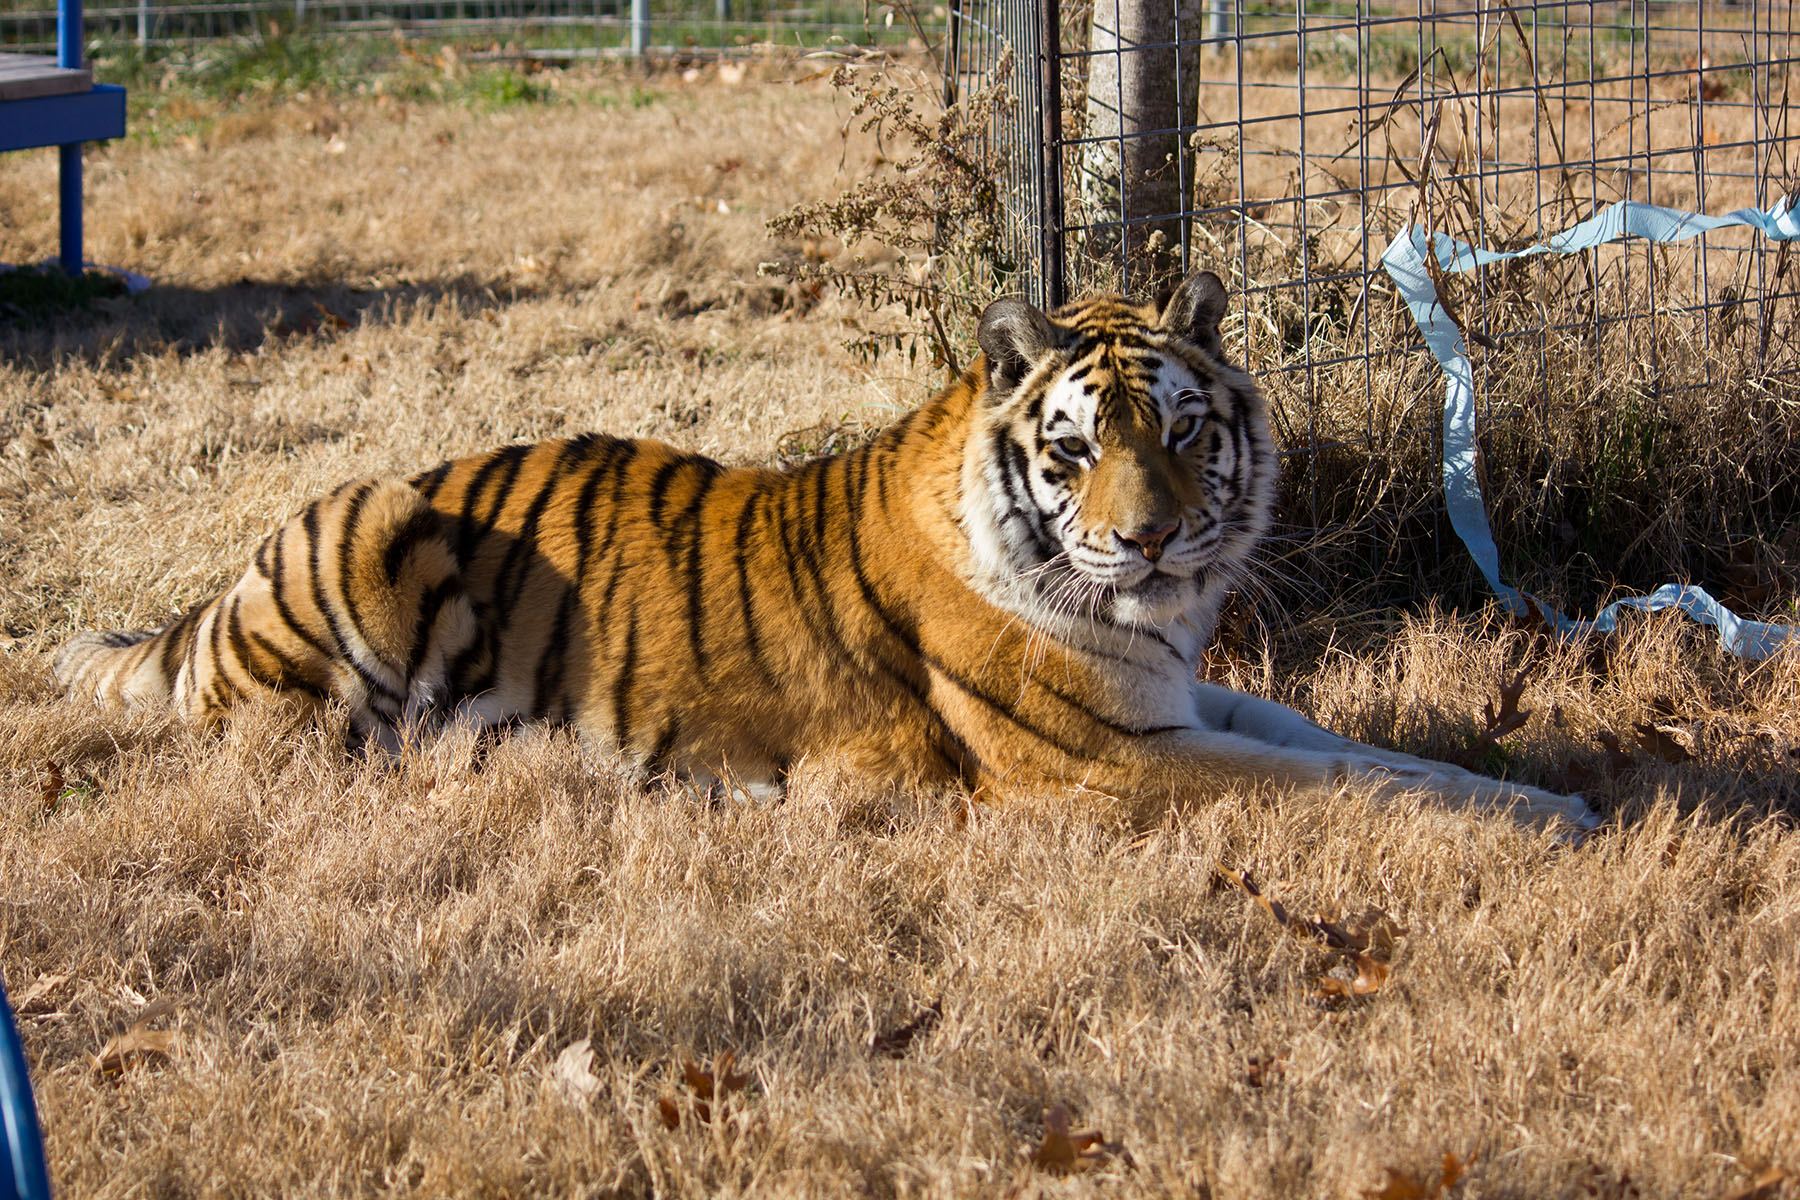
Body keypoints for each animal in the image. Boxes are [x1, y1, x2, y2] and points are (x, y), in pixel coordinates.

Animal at [52, 271, 1605, 834]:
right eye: (1074, 451)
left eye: (1179, 432)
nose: (1150, 540)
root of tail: (223, 586)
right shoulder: (1105, 762)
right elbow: (1338, 778)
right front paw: (1557, 821)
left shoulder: (1174, 696)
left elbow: (1346, 742)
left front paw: (1532, 787)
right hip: (373, 550)